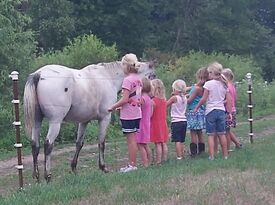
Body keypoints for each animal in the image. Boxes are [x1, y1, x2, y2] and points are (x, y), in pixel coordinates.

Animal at [24, 60, 155, 181]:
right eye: (138, 65)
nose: (151, 65)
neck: (107, 77)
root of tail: (39, 74)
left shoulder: (84, 121)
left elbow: (79, 144)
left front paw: (74, 168)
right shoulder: (104, 119)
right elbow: (101, 143)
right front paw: (103, 167)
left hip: (37, 122)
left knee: (35, 145)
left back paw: (36, 176)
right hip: (55, 122)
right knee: (48, 145)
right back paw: (48, 176)